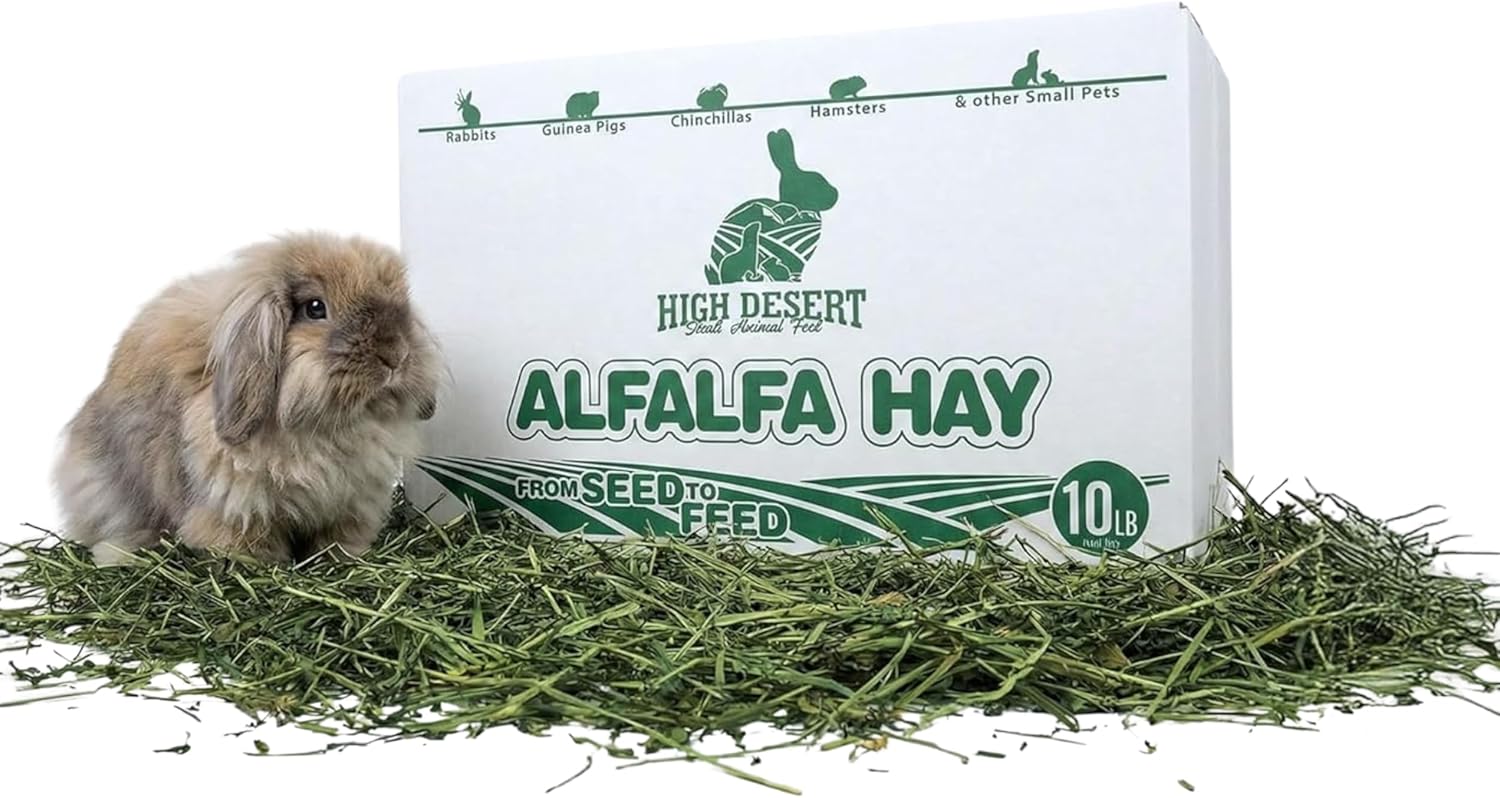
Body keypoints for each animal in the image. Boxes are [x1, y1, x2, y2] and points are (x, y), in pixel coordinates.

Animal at [51, 231, 444, 566]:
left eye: (401, 303)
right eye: (315, 308)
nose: (395, 355)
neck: (330, 429)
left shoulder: (352, 503)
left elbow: (339, 539)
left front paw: (342, 558)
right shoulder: (235, 508)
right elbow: (244, 544)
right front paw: (258, 567)